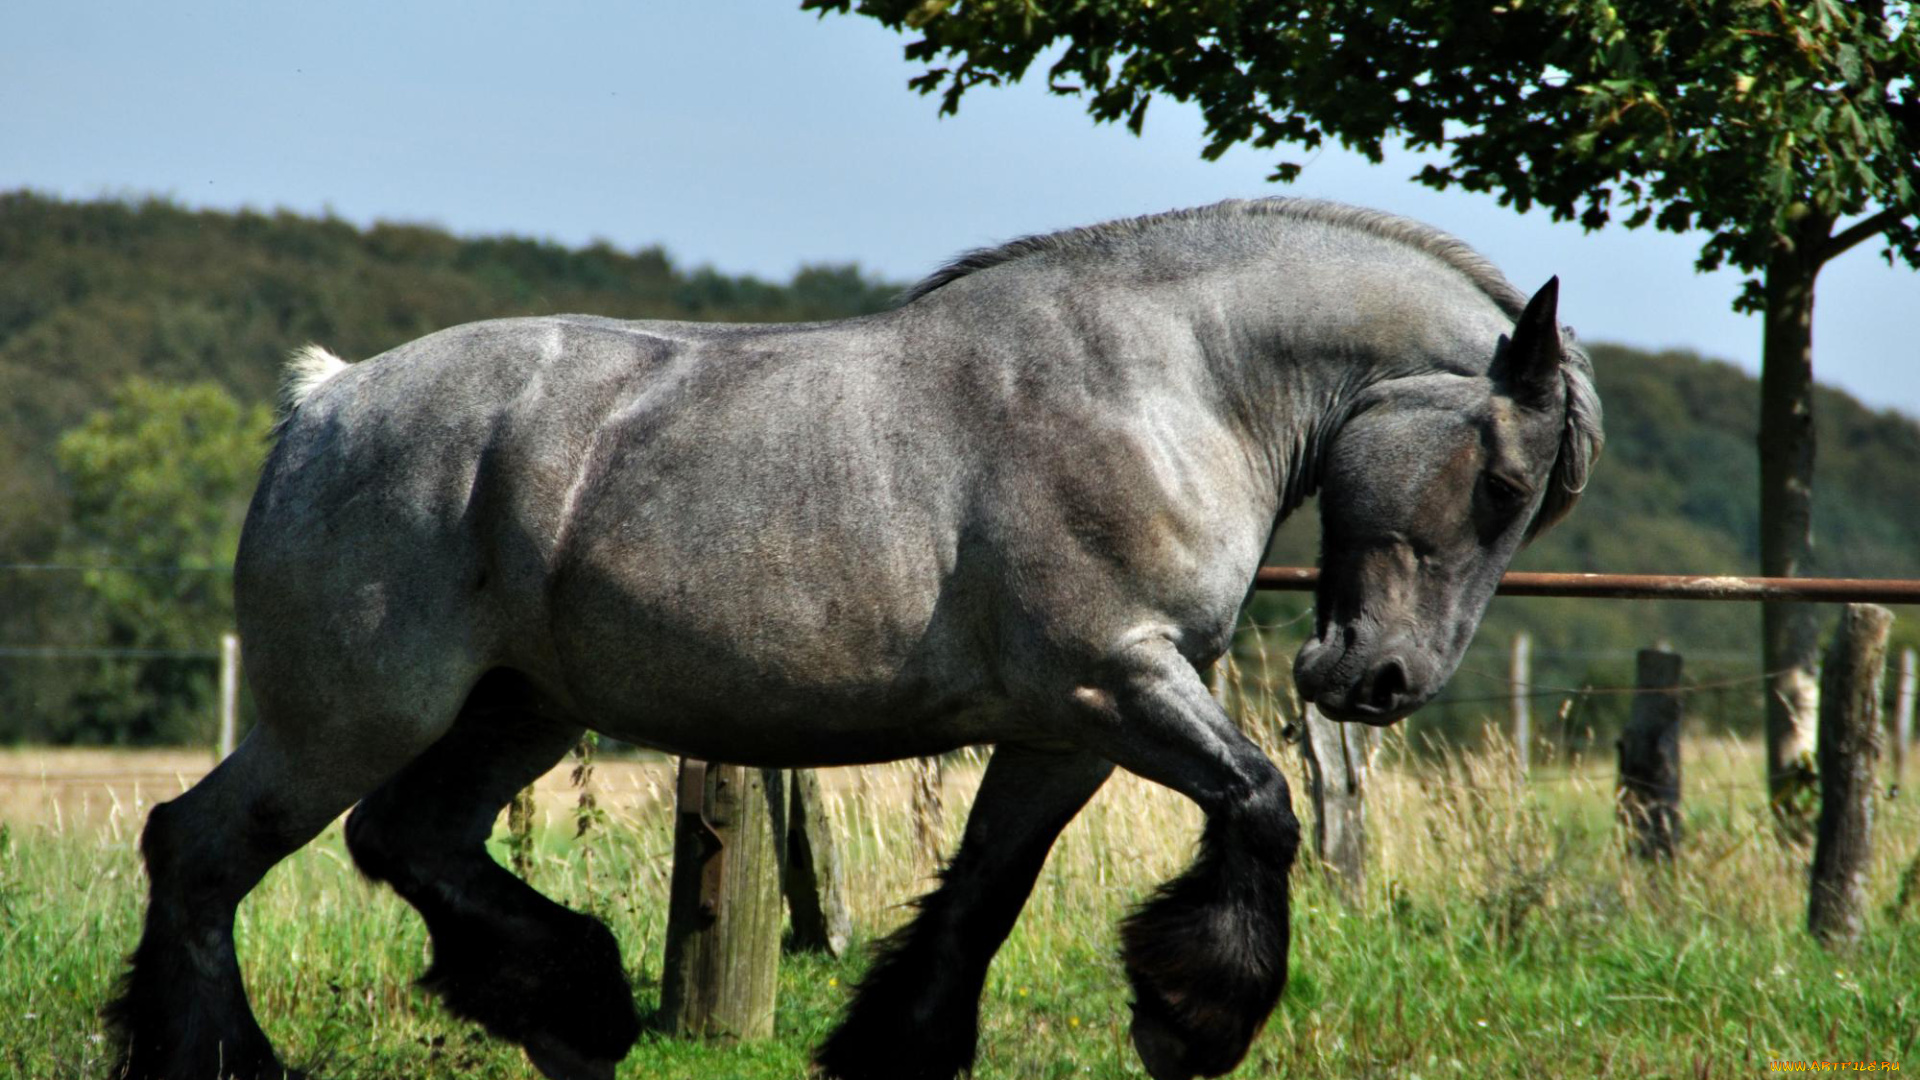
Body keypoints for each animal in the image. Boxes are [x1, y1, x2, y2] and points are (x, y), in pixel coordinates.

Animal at [105, 197, 1601, 1080]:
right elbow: (1265, 802)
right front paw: (1191, 1019)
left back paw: (572, 1007)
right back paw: (231, 1064)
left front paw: (897, 1048)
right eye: (1502, 483)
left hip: (514, 711)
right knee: (201, 850)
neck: (1164, 382)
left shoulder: (1071, 728)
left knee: (405, 840)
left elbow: (989, 886)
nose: (1382, 682)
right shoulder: (1118, 685)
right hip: (352, 714)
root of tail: (325, 402)